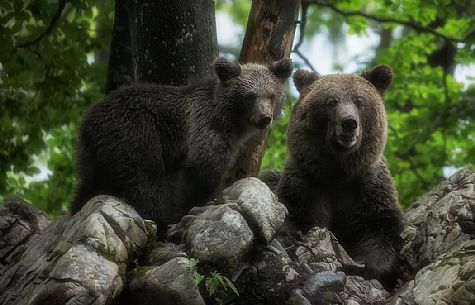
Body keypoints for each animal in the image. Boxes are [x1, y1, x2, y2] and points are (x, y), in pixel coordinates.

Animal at [71, 57, 294, 235]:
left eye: (271, 95)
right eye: (250, 96)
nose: (264, 117)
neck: (231, 121)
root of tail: (88, 121)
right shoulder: (206, 130)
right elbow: (202, 170)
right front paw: (198, 205)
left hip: (94, 155)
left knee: (89, 185)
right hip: (135, 130)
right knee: (145, 178)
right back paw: (159, 222)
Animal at [276, 65, 406, 288]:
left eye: (360, 102)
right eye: (331, 101)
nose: (349, 123)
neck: (338, 172)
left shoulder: (367, 188)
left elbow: (380, 229)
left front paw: (368, 266)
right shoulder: (306, 183)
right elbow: (295, 215)